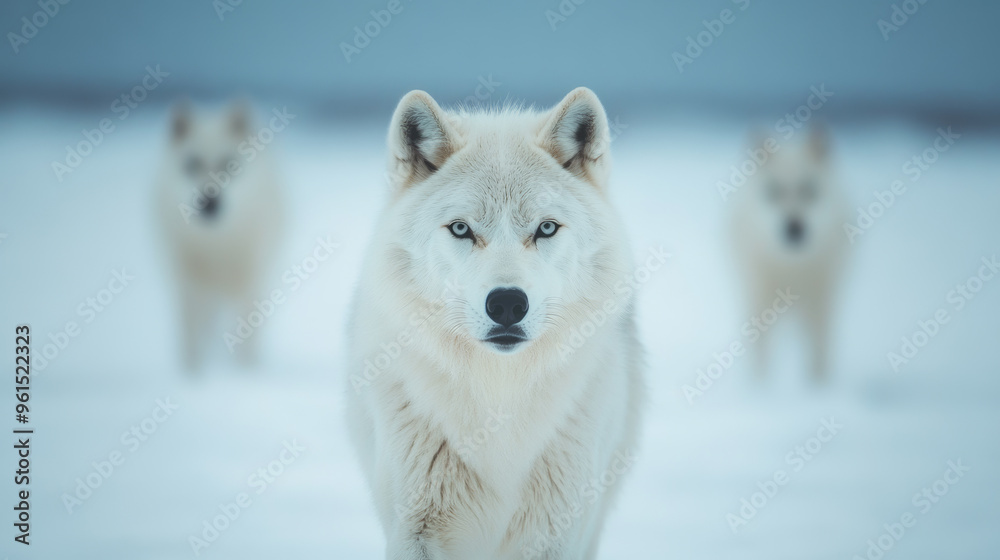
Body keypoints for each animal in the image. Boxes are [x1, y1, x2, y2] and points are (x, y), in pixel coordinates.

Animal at [157, 102, 284, 370]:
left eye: (229, 163)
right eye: (192, 164)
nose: (210, 202)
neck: (217, 244)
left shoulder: (248, 286)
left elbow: (246, 339)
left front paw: (245, 374)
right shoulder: (189, 286)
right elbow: (191, 340)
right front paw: (192, 374)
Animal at [346, 88, 644, 559]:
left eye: (545, 228)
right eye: (461, 229)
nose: (506, 304)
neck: (498, 397)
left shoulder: (555, 531)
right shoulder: (416, 528)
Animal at [729, 126, 849, 381]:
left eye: (809, 189)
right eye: (774, 191)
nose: (794, 227)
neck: (791, 268)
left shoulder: (821, 298)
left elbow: (818, 353)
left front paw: (817, 386)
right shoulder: (758, 298)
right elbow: (761, 355)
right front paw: (760, 386)